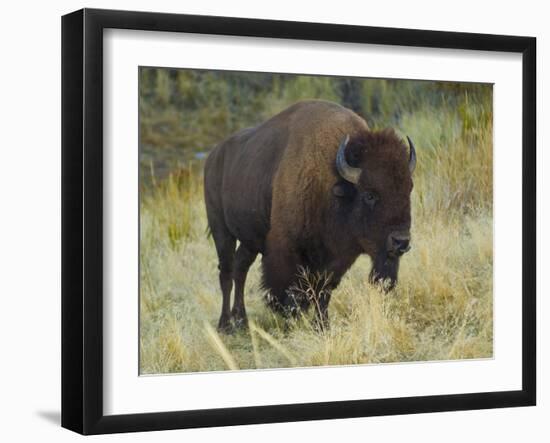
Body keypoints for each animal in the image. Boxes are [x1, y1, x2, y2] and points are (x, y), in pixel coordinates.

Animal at [205, 99, 416, 332]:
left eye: (409, 189)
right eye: (369, 195)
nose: (401, 241)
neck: (332, 184)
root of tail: (213, 156)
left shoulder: (336, 259)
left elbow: (323, 291)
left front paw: (322, 326)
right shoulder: (286, 248)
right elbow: (291, 291)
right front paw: (293, 321)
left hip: (250, 239)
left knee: (240, 268)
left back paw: (241, 320)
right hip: (221, 229)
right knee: (226, 272)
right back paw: (225, 325)